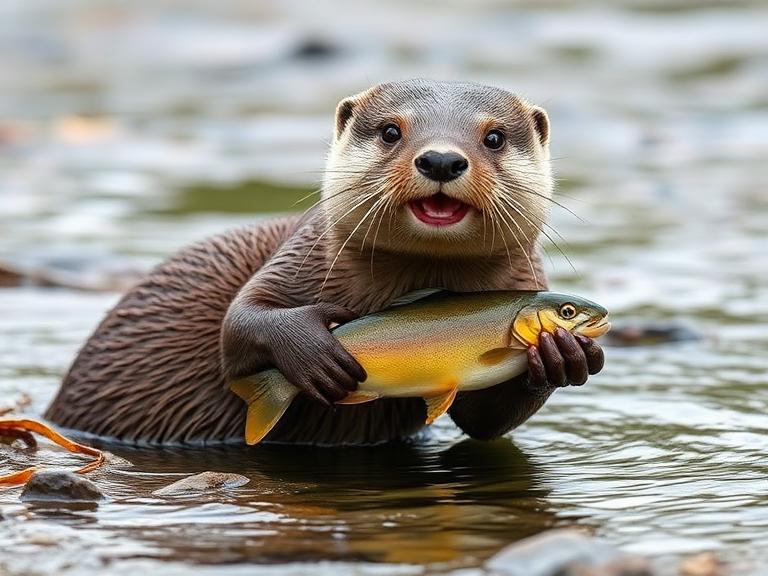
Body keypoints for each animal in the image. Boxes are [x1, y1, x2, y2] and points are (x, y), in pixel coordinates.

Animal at [45, 79, 604, 445]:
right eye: (390, 132)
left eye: (494, 137)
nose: (442, 159)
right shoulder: (296, 257)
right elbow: (237, 323)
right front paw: (314, 352)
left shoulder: (526, 280)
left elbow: (488, 421)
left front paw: (562, 357)